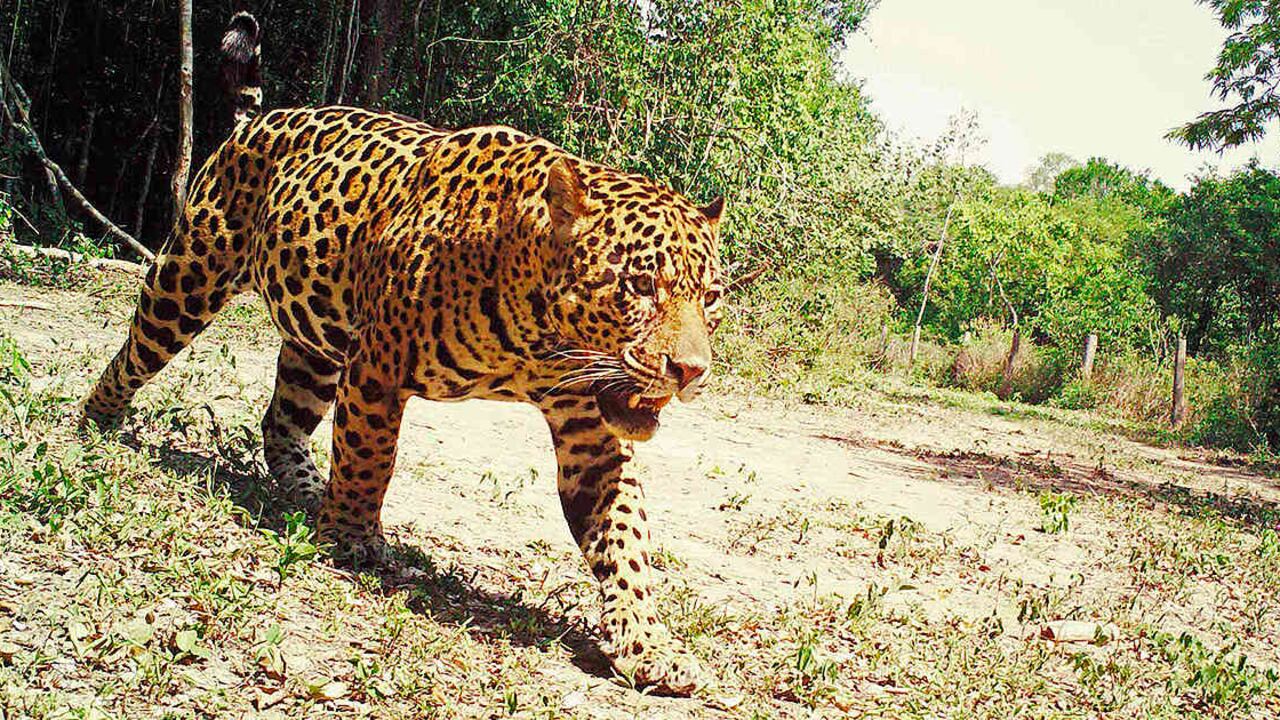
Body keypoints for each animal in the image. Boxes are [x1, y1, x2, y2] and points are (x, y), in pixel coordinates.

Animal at [82, 11, 724, 695]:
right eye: (640, 285)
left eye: (710, 298)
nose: (690, 371)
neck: (536, 335)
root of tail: (257, 120)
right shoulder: (378, 370)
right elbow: (371, 457)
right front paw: (351, 537)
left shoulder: (587, 428)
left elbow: (623, 535)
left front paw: (648, 642)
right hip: (189, 276)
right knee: (138, 350)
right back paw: (95, 421)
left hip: (317, 341)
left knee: (280, 419)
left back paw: (308, 490)